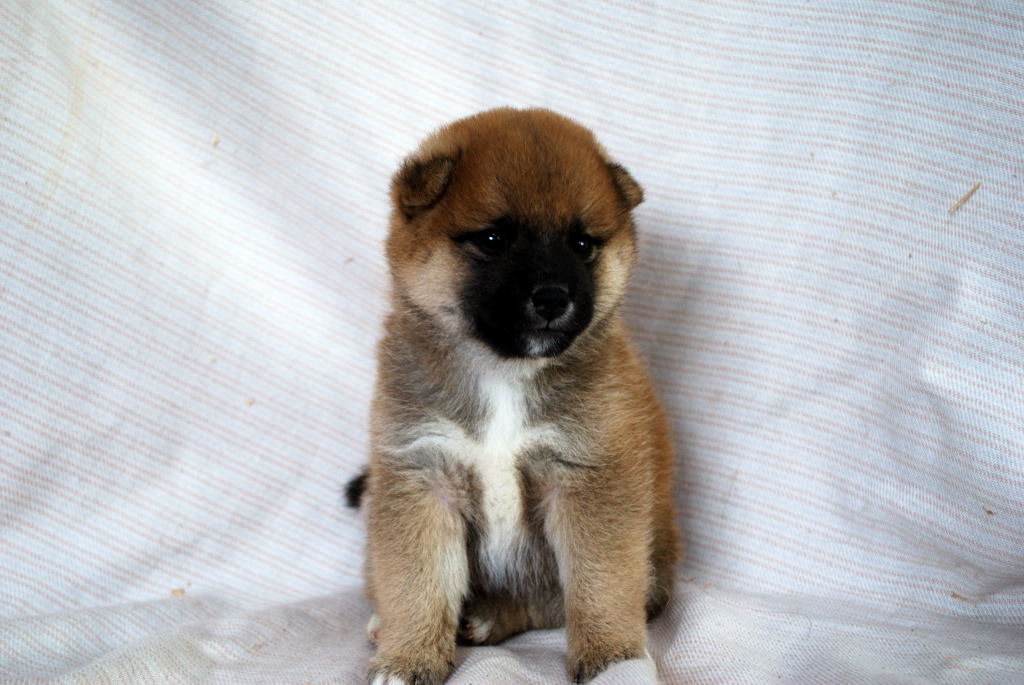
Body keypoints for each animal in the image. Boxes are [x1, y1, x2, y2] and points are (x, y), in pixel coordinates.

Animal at [352, 108, 679, 683]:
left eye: (582, 244)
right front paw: (406, 657)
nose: (552, 298)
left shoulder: (589, 479)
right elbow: (415, 582)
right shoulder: (422, 473)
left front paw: (613, 660)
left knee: (546, 603)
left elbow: (600, 584)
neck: (503, 373)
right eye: (491, 239)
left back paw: (485, 617)